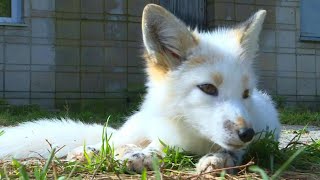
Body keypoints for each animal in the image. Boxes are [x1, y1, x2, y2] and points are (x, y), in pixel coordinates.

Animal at [0, 3, 280, 173]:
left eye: (246, 94)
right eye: (208, 88)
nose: (247, 133)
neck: (191, 138)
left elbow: (231, 153)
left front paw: (219, 159)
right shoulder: (164, 137)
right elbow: (155, 148)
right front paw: (142, 157)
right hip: (135, 127)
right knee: (115, 139)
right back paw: (96, 150)